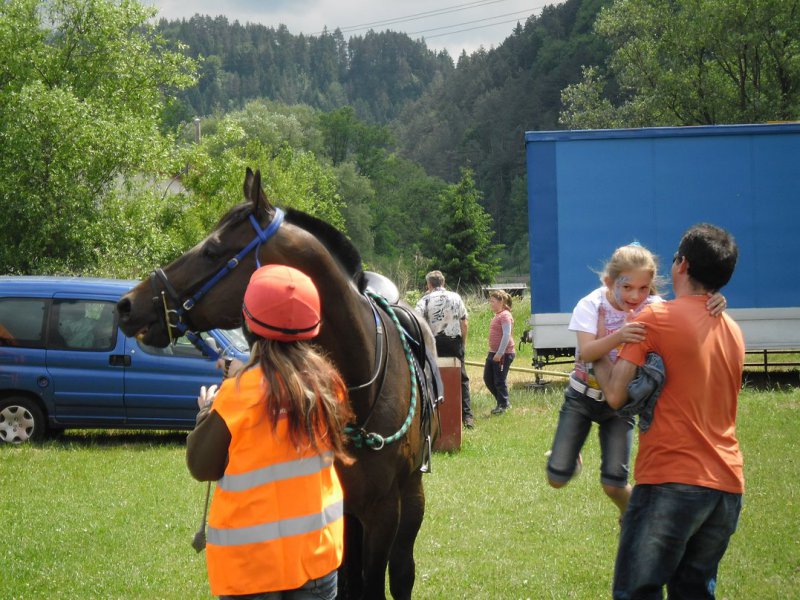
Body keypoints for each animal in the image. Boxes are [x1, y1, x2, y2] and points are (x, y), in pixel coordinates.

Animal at [116, 168, 440, 600]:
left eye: (212, 250)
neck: (358, 383)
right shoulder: (337, 509)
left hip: (410, 497)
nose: (128, 305)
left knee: (403, 572)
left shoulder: (384, 510)